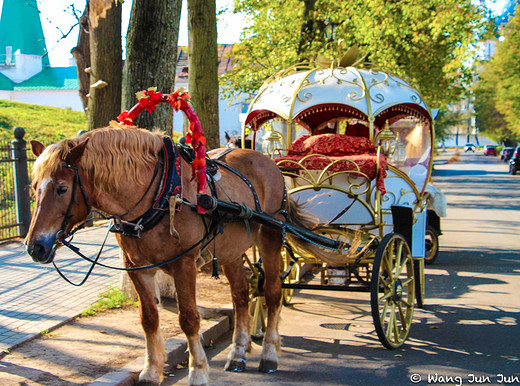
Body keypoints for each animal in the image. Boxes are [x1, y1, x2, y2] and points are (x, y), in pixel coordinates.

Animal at [25, 126, 330, 382]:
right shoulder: (136, 266)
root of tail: (267, 161)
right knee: (241, 296)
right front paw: (151, 372)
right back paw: (237, 352)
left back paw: (269, 354)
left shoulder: (184, 264)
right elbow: (149, 319)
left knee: (272, 293)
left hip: (270, 237)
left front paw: (198, 373)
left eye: (62, 189)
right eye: (34, 188)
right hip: (231, 251)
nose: (34, 246)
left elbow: (189, 319)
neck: (159, 194)